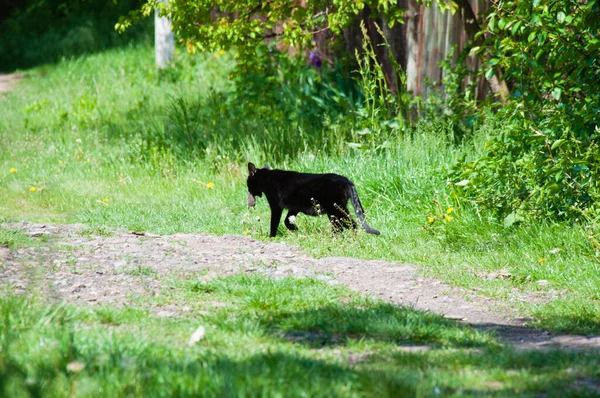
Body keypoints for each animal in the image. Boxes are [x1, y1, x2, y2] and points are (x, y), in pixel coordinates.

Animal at [247, 162, 380, 238]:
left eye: (248, 183)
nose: (248, 191)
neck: (266, 178)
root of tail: (347, 180)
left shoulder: (276, 206)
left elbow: (274, 222)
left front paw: (271, 236)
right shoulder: (294, 208)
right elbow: (287, 220)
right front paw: (295, 229)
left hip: (334, 209)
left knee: (349, 224)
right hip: (335, 210)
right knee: (344, 225)